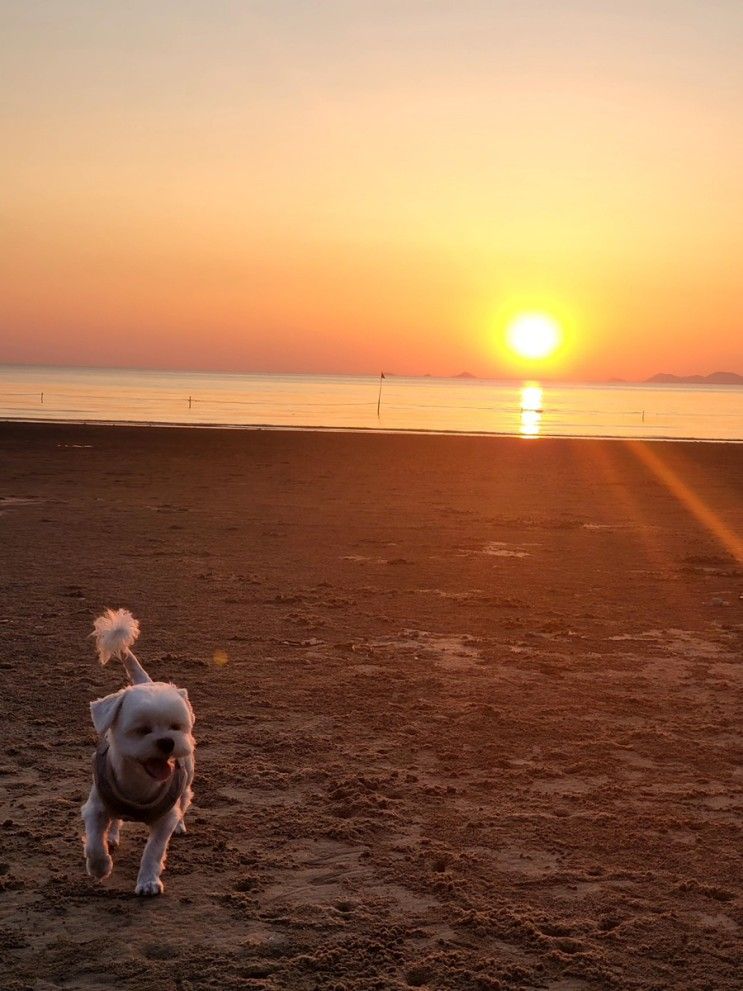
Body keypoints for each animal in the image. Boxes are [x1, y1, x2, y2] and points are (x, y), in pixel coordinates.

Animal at [80, 608, 195, 896]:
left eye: (176, 727)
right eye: (142, 730)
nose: (167, 742)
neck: (139, 785)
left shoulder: (163, 820)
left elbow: (153, 851)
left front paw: (148, 881)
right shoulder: (96, 807)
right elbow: (94, 843)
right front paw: (100, 867)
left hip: (186, 777)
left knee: (184, 799)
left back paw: (180, 823)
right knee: (114, 821)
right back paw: (111, 836)